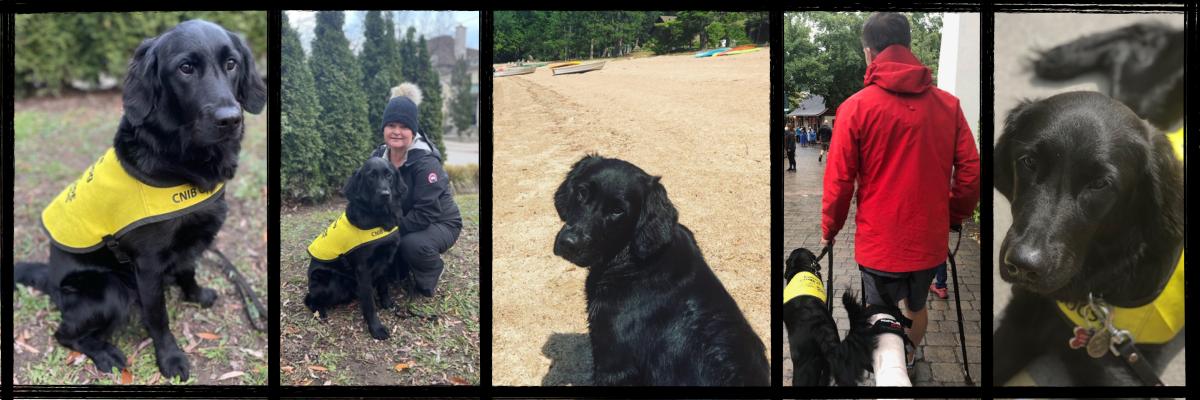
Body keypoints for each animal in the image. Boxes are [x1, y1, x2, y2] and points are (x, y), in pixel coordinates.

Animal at [14, 19, 262, 379]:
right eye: (185, 68)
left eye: (232, 63)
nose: (230, 119)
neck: (181, 161)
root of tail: (50, 276)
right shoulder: (148, 264)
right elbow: (158, 317)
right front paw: (170, 358)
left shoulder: (191, 241)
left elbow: (189, 270)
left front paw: (196, 295)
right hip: (110, 290)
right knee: (63, 334)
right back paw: (105, 354)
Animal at [304, 157, 408, 338]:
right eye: (371, 176)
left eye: (389, 175)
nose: (385, 194)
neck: (379, 218)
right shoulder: (363, 269)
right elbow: (369, 304)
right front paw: (376, 328)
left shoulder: (385, 261)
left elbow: (384, 287)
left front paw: (387, 304)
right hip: (331, 281)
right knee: (309, 299)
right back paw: (320, 312)